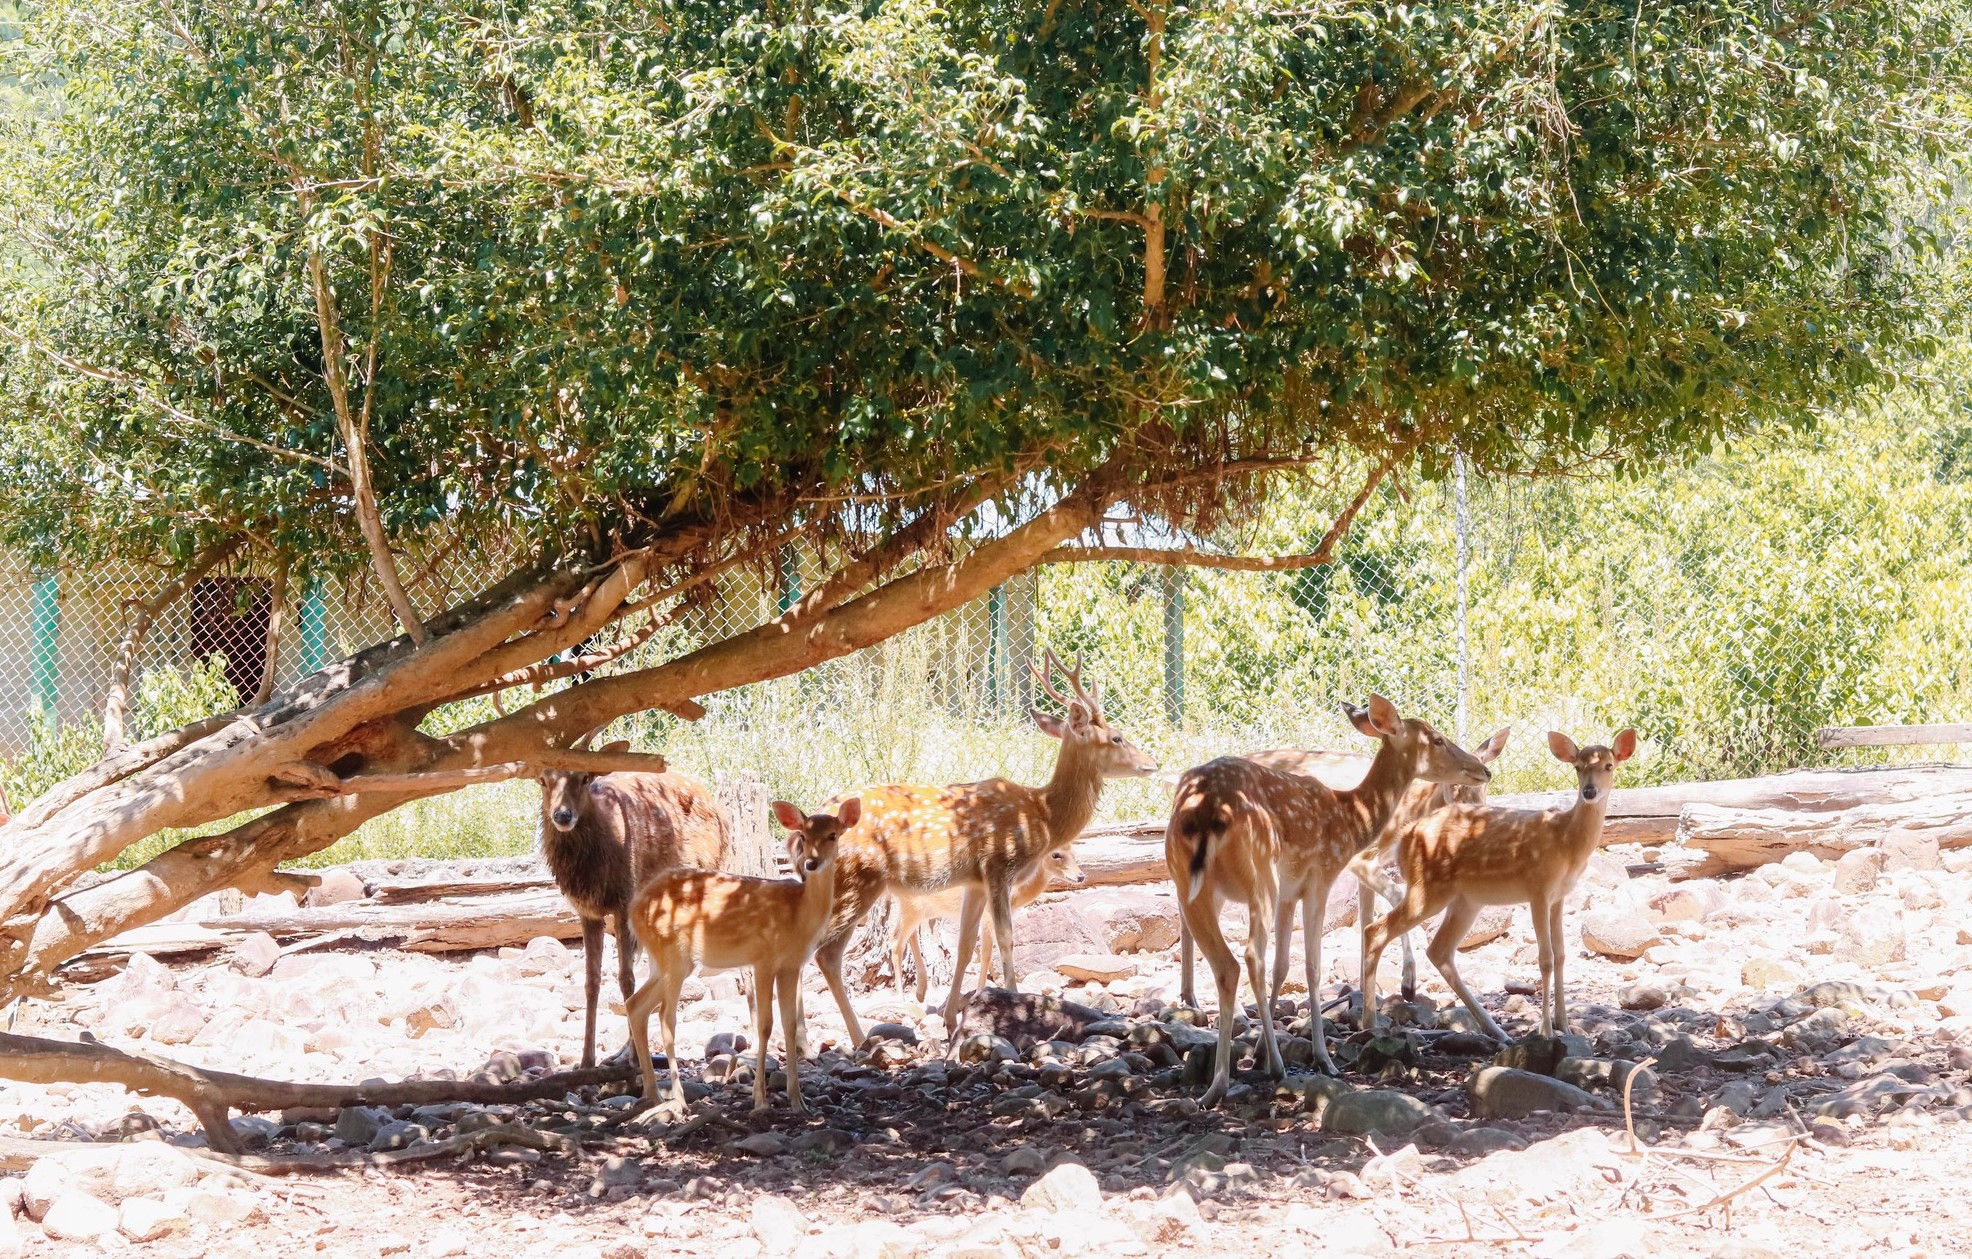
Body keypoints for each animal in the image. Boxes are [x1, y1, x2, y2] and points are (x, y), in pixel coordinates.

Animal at [623, 797, 855, 1112]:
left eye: (833, 835)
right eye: (804, 836)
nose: (811, 863)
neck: (799, 915)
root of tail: (633, 910)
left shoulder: (792, 964)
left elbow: (790, 1025)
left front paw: (798, 1101)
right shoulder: (763, 958)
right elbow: (765, 1025)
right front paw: (760, 1099)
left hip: (667, 961)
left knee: (636, 1005)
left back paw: (654, 1094)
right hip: (672, 954)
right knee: (665, 1019)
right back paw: (679, 1099)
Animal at [891, 848, 1088, 1006]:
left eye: (1074, 852)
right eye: (1056, 854)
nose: (1081, 876)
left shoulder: (986, 920)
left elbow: (986, 954)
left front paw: (979, 992)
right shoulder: (989, 915)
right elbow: (996, 949)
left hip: (923, 910)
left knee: (909, 936)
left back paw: (920, 992)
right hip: (912, 907)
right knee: (895, 941)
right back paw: (901, 998)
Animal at [1159, 702, 1482, 1105]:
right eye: (1436, 738)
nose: (1482, 769)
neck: (1350, 818)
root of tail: (1207, 810)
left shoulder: (1289, 892)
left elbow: (1283, 965)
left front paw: (1262, 1048)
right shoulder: (1320, 878)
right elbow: (1311, 966)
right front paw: (1323, 1059)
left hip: (1191, 880)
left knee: (1226, 964)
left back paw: (1216, 1084)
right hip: (1260, 871)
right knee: (1249, 957)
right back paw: (1268, 1068)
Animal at [1364, 730, 1640, 1041]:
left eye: (1608, 766)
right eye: (1578, 767)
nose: (1589, 792)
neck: (1567, 841)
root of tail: (1405, 837)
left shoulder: (1559, 896)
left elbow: (1561, 955)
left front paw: (1565, 1026)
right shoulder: (1538, 888)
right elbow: (1545, 958)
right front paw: (1546, 1031)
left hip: (1466, 900)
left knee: (1439, 950)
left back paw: (1497, 1031)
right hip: (1428, 888)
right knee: (1376, 930)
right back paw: (1368, 1021)